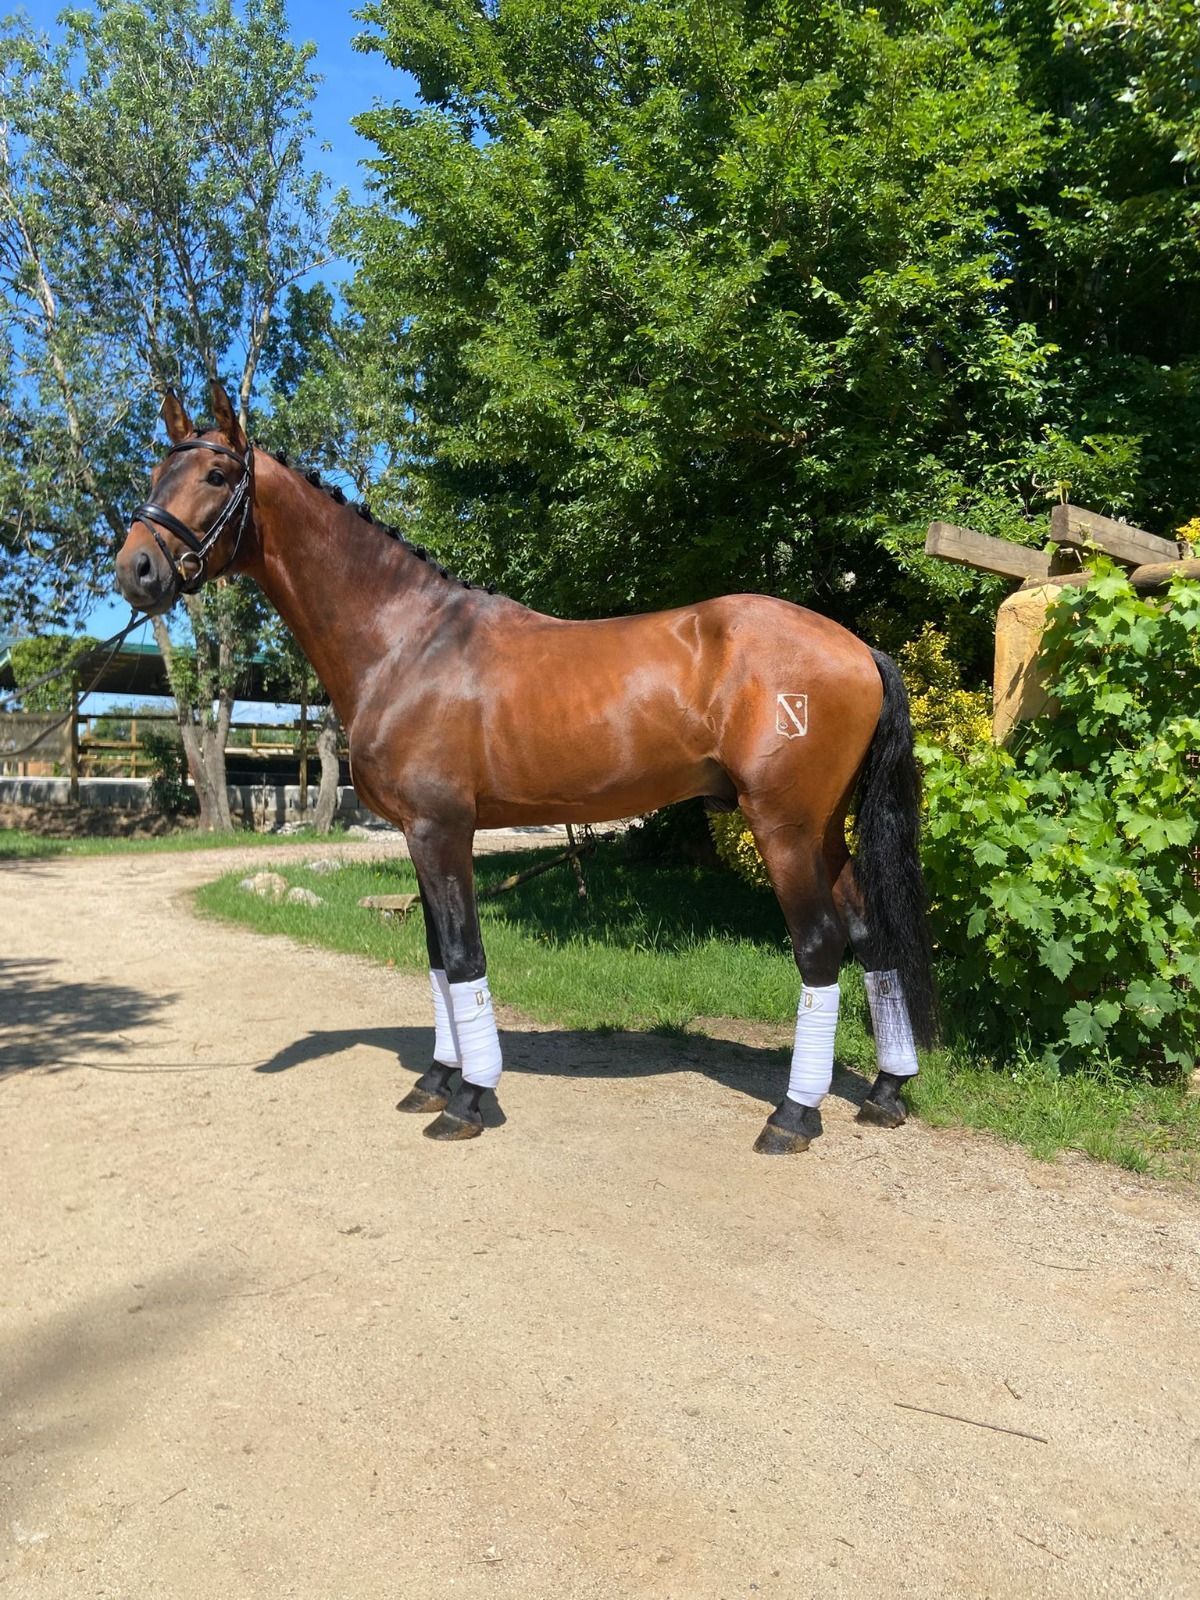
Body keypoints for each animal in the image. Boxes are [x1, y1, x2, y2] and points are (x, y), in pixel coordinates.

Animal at [116, 381, 937, 1154]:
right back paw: (885, 1091)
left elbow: (463, 954)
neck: (406, 641)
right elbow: (436, 957)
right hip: (824, 830)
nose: (136, 569)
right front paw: (436, 1079)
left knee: (820, 947)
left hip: (784, 828)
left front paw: (469, 1100)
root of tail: (857, 646)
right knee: (870, 937)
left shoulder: (442, 829)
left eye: (217, 473)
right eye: (157, 471)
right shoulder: (419, 835)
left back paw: (793, 1116)